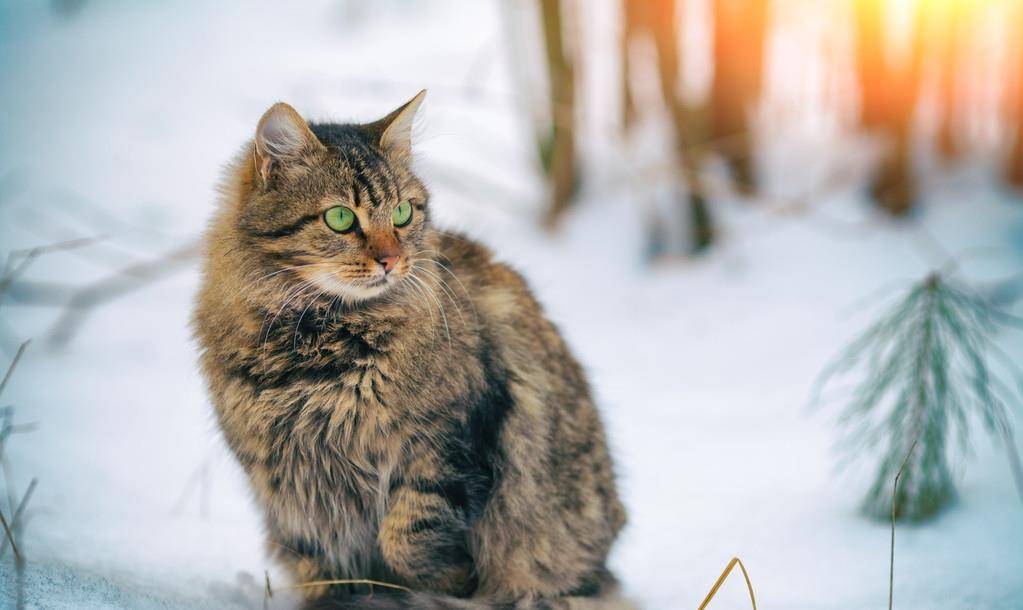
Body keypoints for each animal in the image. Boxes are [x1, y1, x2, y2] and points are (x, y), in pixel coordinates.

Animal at [190, 91, 621, 610]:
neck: (320, 347)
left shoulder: (449, 445)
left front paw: (446, 583)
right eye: (340, 218)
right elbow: (324, 570)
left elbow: (408, 538)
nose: (391, 260)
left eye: (402, 213)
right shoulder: (293, 491)